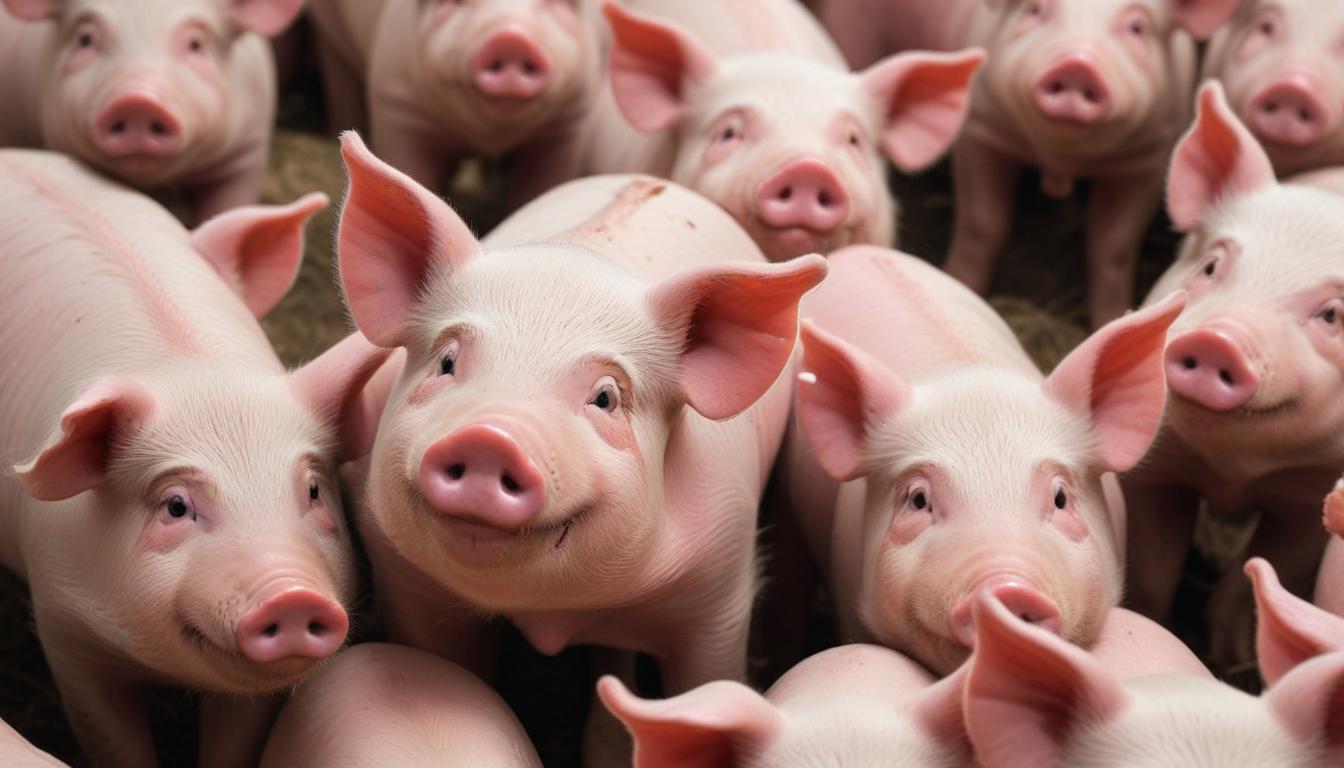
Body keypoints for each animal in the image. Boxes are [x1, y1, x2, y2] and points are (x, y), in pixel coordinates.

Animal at [0, 149, 391, 768]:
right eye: (177, 506)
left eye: (312, 491)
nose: (293, 594)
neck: (197, 374)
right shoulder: (64, 626)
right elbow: (113, 739)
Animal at [306, 0, 606, 207]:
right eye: (452, 1)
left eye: (558, 2)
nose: (511, 39)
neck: (488, 136)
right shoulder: (397, 105)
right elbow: (412, 174)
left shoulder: (567, 122)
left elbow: (538, 187)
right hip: (328, 28)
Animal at [334, 133, 826, 704]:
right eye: (447, 362)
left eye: (606, 397)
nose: (489, 437)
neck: (552, 614)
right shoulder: (406, 578)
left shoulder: (721, 589)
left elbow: (707, 679)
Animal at [812, 0, 1237, 326]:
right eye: (1035, 9)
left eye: (1137, 26)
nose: (1077, 64)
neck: (1061, 156)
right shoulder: (981, 132)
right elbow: (984, 226)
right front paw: (960, 282)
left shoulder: (1146, 158)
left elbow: (1112, 249)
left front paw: (1109, 320)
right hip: (853, 26)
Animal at [1122, 82, 1344, 669]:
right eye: (1210, 267)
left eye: (1333, 315)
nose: (1216, 339)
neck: (1231, 472)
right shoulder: (1156, 469)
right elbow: (1152, 569)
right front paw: (1157, 625)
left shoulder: (1311, 496)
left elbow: (1257, 573)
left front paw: (1228, 658)